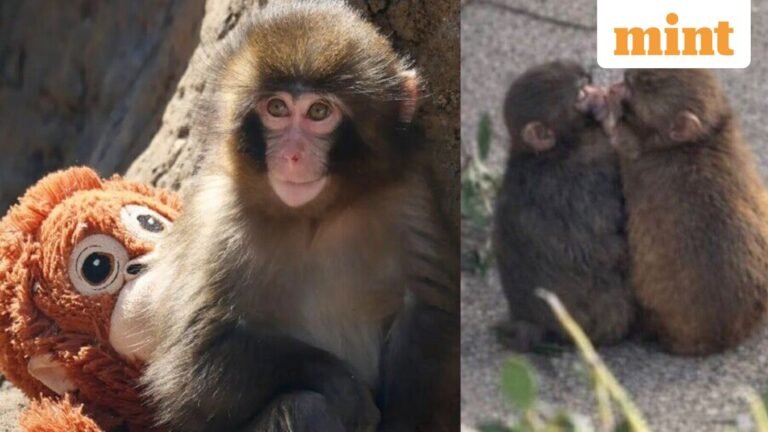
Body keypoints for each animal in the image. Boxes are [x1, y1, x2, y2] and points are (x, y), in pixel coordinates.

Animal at [129, 1, 459, 431]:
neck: (315, 216)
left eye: (319, 111)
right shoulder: (218, 217)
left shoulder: (409, 193)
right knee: (304, 407)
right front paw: (342, 385)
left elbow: (429, 313)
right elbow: (191, 365)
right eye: (277, 109)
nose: (291, 155)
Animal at [604, 69, 768, 355]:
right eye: (628, 79)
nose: (615, 86)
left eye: (633, 89)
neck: (699, 140)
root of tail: (722, 337)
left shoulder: (637, 163)